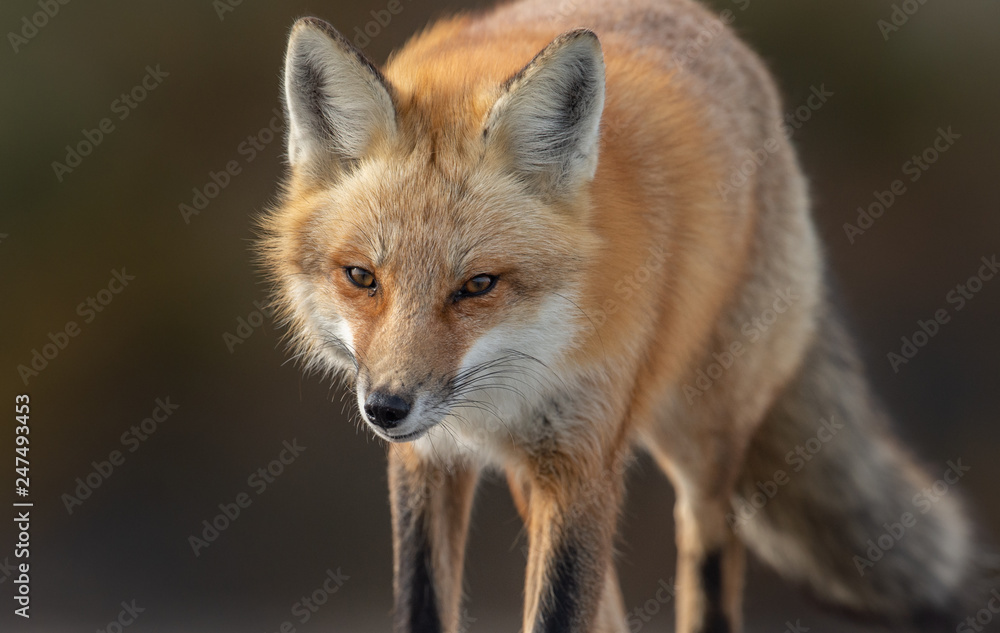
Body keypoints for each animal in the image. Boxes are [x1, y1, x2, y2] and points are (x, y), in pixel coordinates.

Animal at [259, 0, 993, 631]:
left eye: (478, 285)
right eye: (362, 277)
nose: (386, 407)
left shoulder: (581, 458)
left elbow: (558, 614)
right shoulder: (431, 462)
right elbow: (426, 605)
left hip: (698, 445)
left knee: (709, 558)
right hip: (541, 476)